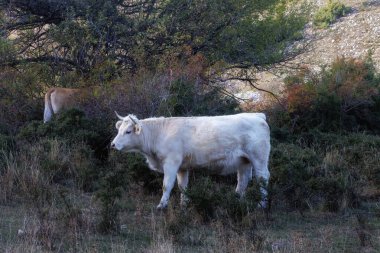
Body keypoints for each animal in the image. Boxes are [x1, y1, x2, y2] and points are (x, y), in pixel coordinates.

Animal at [110, 112, 270, 210]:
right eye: (119, 130)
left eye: (128, 131)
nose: (113, 144)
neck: (159, 133)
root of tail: (257, 115)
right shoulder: (182, 167)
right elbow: (183, 186)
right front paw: (184, 205)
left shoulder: (171, 163)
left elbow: (166, 185)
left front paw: (161, 206)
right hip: (244, 161)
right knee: (243, 180)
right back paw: (237, 201)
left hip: (259, 159)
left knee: (262, 179)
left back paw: (261, 205)